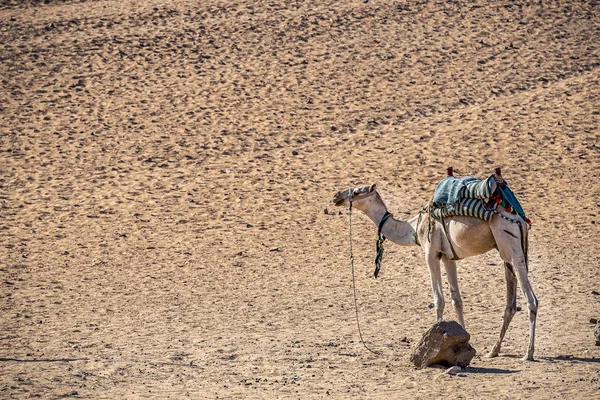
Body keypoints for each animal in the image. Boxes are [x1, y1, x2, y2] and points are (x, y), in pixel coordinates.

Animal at [332, 183, 540, 360]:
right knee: (510, 304)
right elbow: (457, 300)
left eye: (356, 191)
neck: (414, 228)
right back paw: (493, 351)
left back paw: (528, 354)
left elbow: (438, 300)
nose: (336, 196)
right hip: (506, 252)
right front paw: (465, 342)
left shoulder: (430, 253)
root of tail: (519, 219)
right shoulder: (448, 257)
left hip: (510, 244)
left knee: (531, 300)